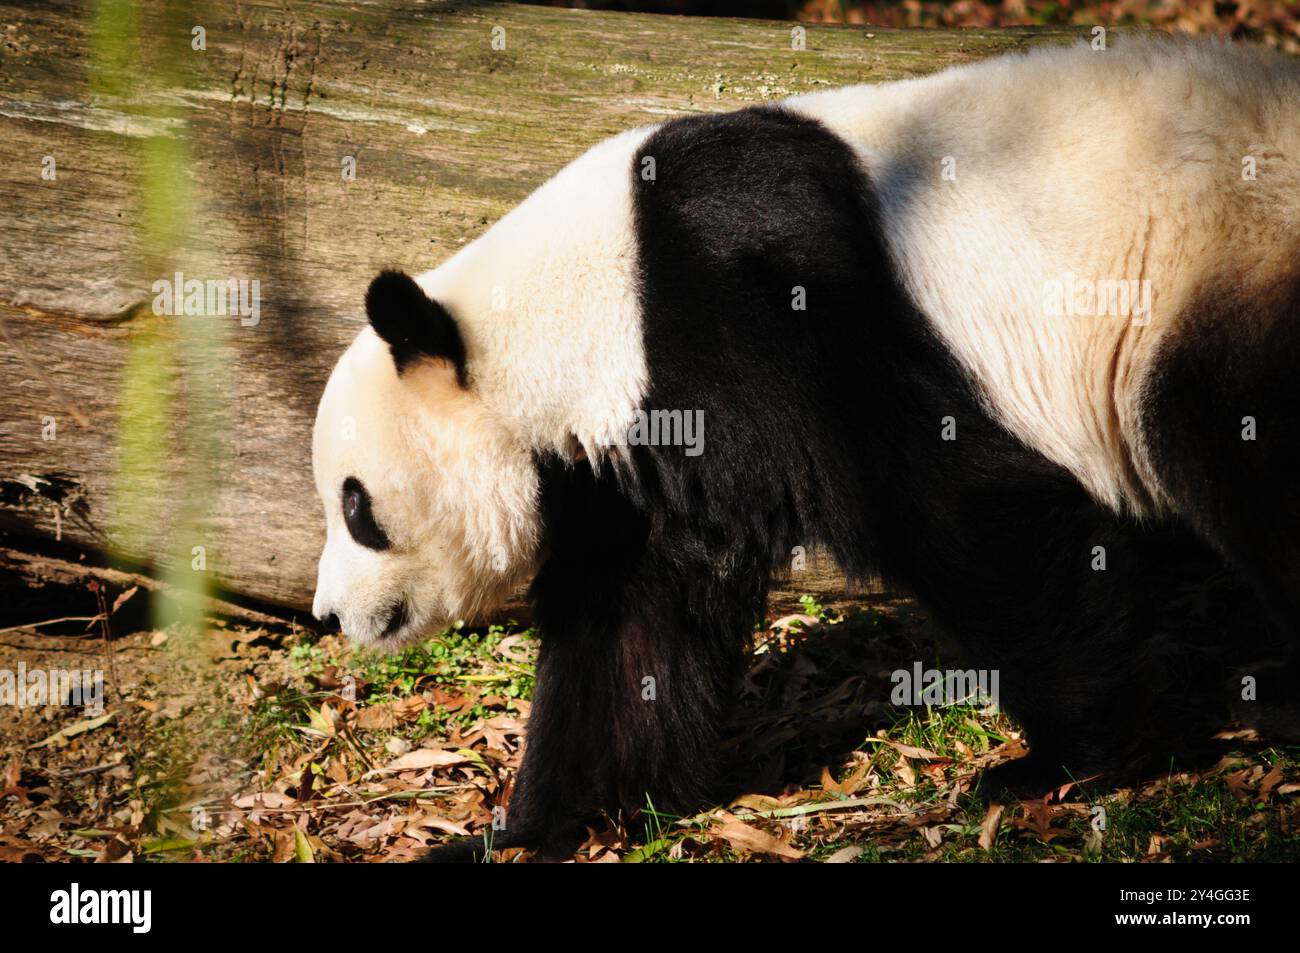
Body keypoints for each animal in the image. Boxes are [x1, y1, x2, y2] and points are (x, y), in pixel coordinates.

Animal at [312, 37, 1300, 858]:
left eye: (356, 505)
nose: (327, 615)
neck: (591, 299)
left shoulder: (760, 297)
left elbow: (953, 497)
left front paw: (1077, 753)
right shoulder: (641, 439)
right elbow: (632, 619)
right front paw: (532, 827)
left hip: (1218, 256)